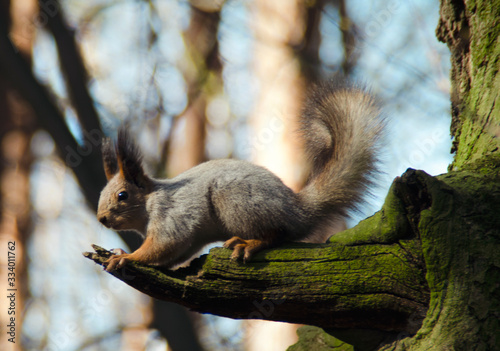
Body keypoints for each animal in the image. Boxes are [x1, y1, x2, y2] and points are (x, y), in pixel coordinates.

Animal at [98, 79, 386, 272]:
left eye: (122, 195)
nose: (101, 219)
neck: (149, 201)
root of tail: (298, 210)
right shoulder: (187, 239)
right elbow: (173, 255)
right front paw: (122, 251)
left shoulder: (171, 214)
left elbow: (164, 244)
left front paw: (127, 257)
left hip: (235, 198)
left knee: (279, 234)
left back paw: (250, 243)